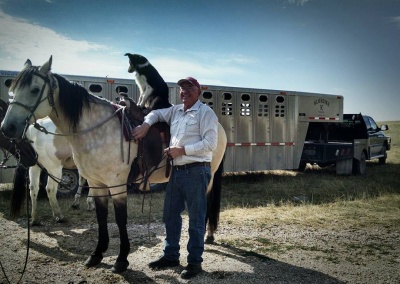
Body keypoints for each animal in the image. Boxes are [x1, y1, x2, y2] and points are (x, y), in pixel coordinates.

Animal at [0, 57, 227, 272]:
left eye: (34, 89)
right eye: (13, 90)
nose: (7, 127)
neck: (96, 130)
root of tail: (218, 125)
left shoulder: (116, 185)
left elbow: (120, 219)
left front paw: (121, 260)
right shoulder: (96, 183)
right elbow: (101, 218)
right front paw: (96, 255)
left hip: (207, 178)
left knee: (204, 206)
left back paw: (206, 237)